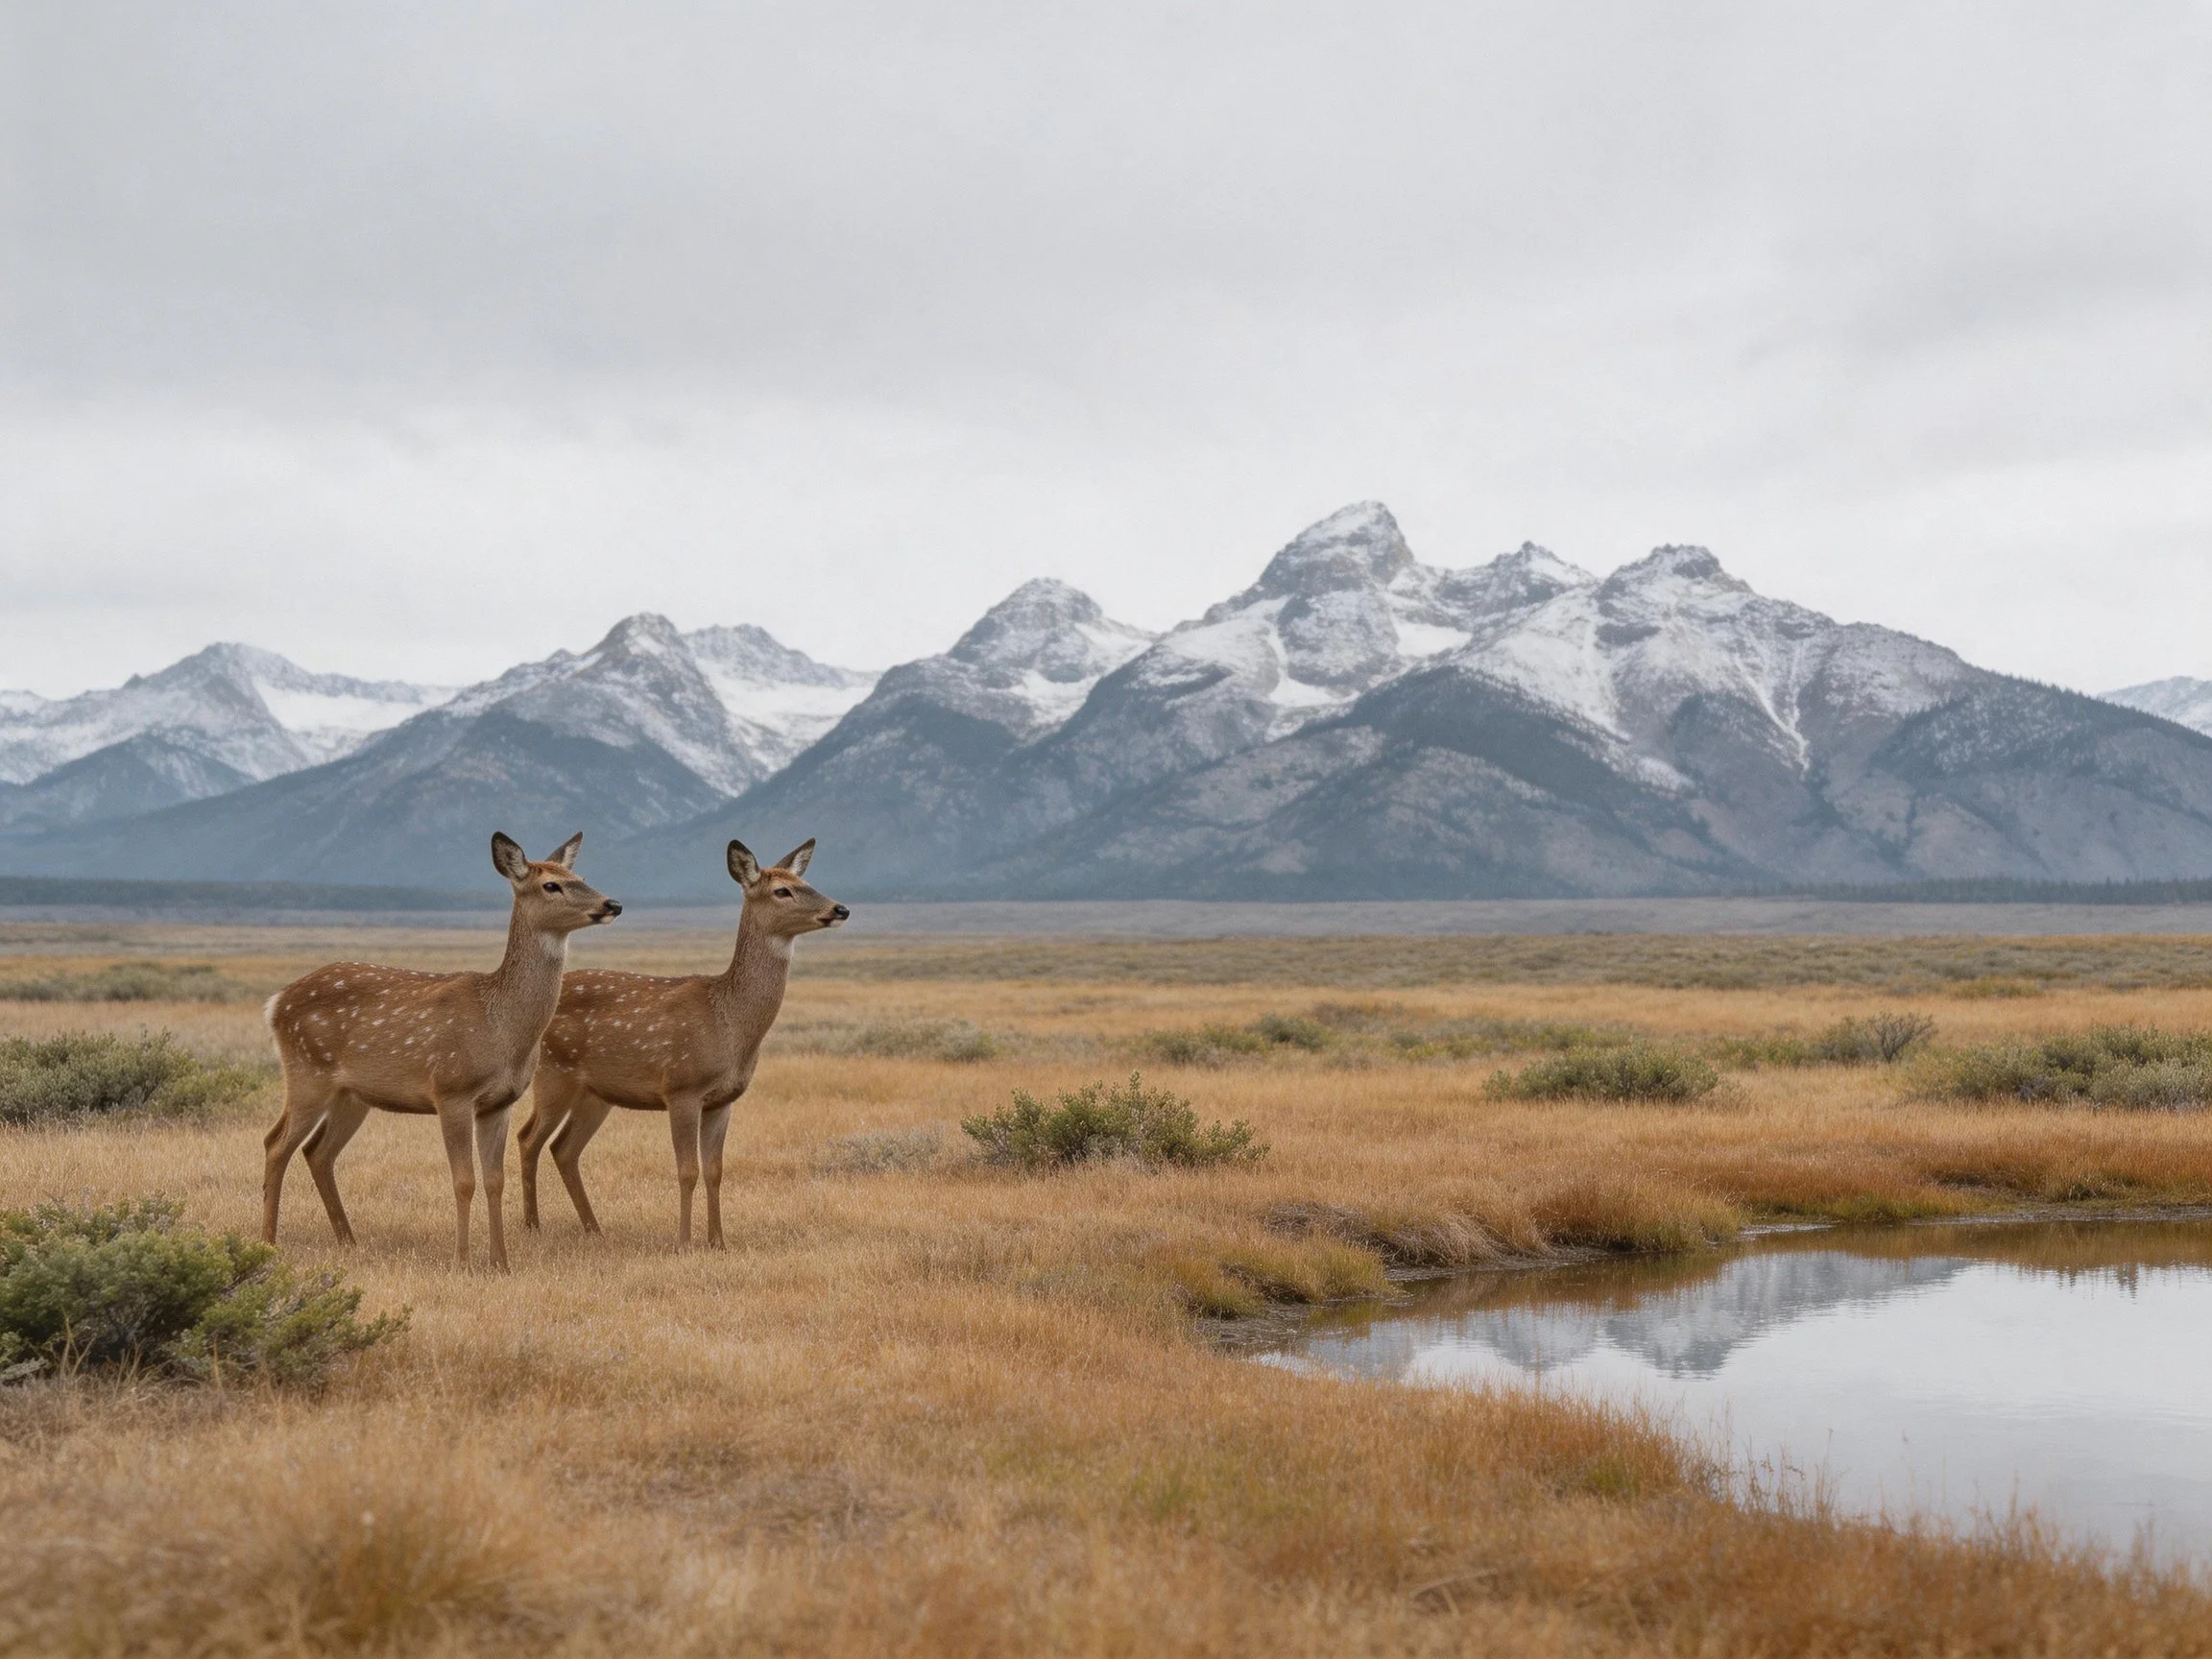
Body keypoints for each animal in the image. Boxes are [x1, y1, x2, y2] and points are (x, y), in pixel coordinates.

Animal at [261, 832, 622, 1270]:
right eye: (550, 885)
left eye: (580, 876)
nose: (612, 904)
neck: (500, 1029)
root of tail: (275, 1003)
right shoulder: (451, 1090)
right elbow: (463, 1181)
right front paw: (462, 1261)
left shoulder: (500, 1103)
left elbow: (494, 1180)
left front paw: (501, 1262)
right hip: (306, 1073)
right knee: (276, 1143)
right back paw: (268, 1242)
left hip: (352, 1094)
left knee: (318, 1151)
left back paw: (349, 1240)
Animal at [518, 836, 847, 1247]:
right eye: (782, 890)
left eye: (806, 882)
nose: (840, 908)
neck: (728, 1023)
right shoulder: (682, 1087)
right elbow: (687, 1169)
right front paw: (684, 1241)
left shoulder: (723, 1100)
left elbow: (715, 1170)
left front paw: (718, 1241)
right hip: (553, 1074)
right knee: (528, 1139)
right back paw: (532, 1226)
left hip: (596, 1094)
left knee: (563, 1148)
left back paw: (594, 1229)